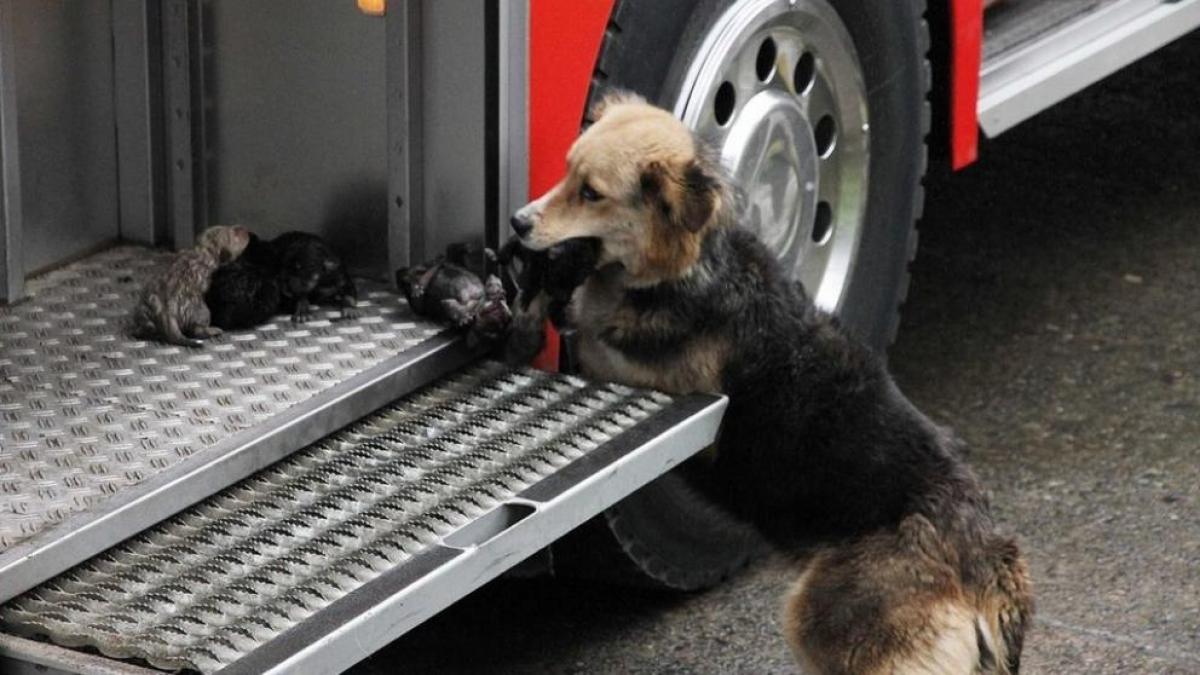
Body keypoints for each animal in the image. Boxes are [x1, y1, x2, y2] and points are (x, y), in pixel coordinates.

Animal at [508, 90, 1032, 672]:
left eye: (591, 193)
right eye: (566, 172)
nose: (517, 223)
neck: (691, 268)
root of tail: (984, 561)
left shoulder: (653, 378)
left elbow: (588, 332)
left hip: (824, 623)